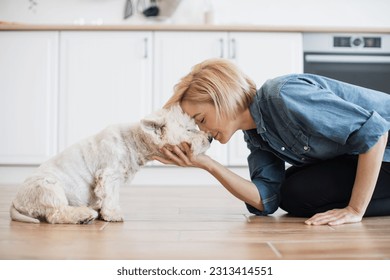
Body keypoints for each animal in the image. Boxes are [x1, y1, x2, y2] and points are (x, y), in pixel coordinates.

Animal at [9, 106, 210, 224]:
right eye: (190, 130)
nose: (210, 137)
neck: (134, 141)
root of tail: (16, 202)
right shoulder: (109, 174)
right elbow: (111, 196)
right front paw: (113, 215)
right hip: (48, 188)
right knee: (56, 214)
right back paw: (84, 215)